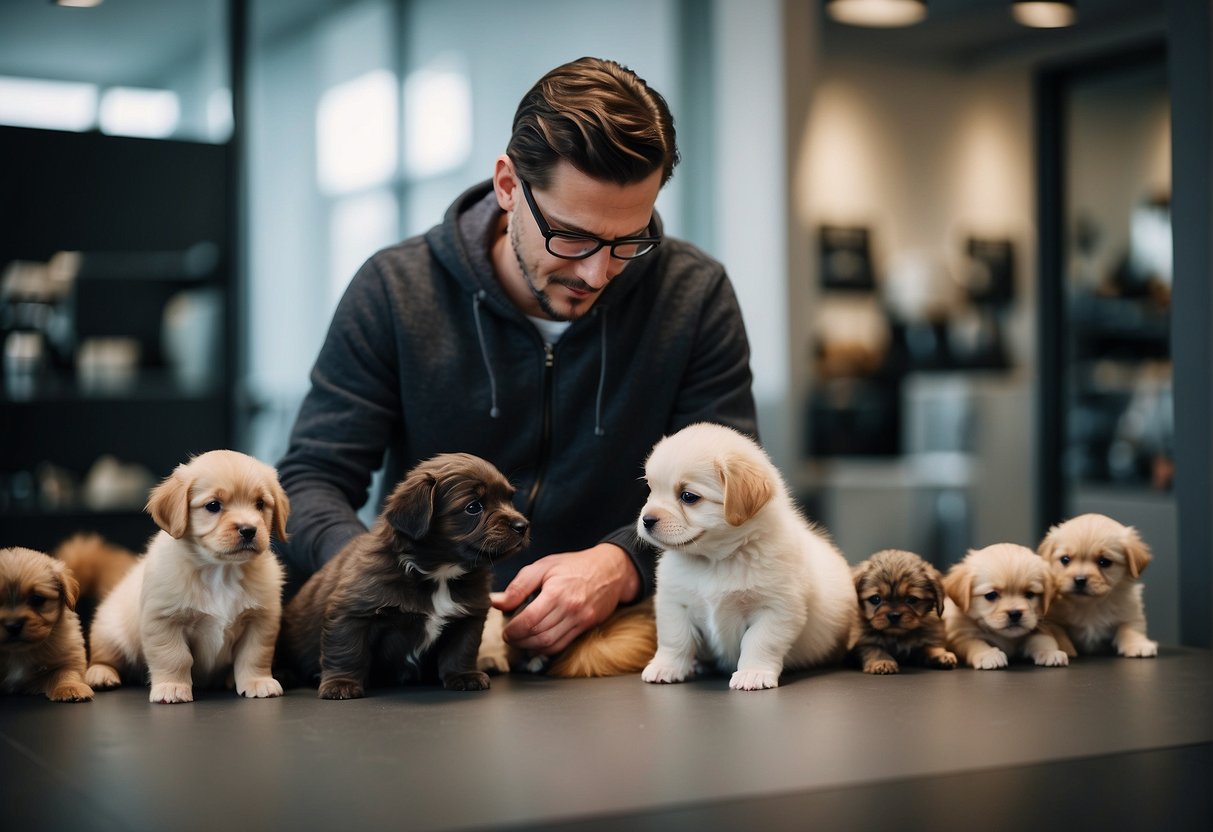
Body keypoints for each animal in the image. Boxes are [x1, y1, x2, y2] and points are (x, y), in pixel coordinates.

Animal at [0, 548, 94, 703]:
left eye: (37, 599)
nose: (13, 625)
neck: (18, 653)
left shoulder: (68, 656)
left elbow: (65, 672)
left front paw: (70, 687)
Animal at [84, 453, 288, 708]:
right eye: (213, 506)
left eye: (260, 504)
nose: (249, 530)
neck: (221, 571)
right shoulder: (164, 620)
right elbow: (174, 657)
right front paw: (172, 687)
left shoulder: (260, 621)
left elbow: (255, 655)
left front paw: (258, 681)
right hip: (110, 633)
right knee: (103, 657)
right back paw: (100, 673)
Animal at [635, 424, 853, 688]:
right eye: (651, 489)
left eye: (688, 496)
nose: (646, 520)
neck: (715, 561)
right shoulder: (673, 603)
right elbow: (674, 640)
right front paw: (666, 667)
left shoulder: (776, 609)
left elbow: (759, 643)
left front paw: (753, 673)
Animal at [941, 543, 1067, 674]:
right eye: (991, 595)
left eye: (1030, 594)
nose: (1015, 613)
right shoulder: (960, 635)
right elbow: (976, 643)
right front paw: (988, 654)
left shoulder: (1039, 628)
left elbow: (1043, 640)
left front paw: (1050, 652)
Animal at [1038, 511, 1159, 659]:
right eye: (1065, 559)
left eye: (1104, 562)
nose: (1080, 579)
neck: (1090, 605)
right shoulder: (1052, 620)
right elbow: (1058, 633)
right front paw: (1064, 649)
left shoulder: (1131, 611)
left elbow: (1131, 627)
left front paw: (1137, 645)